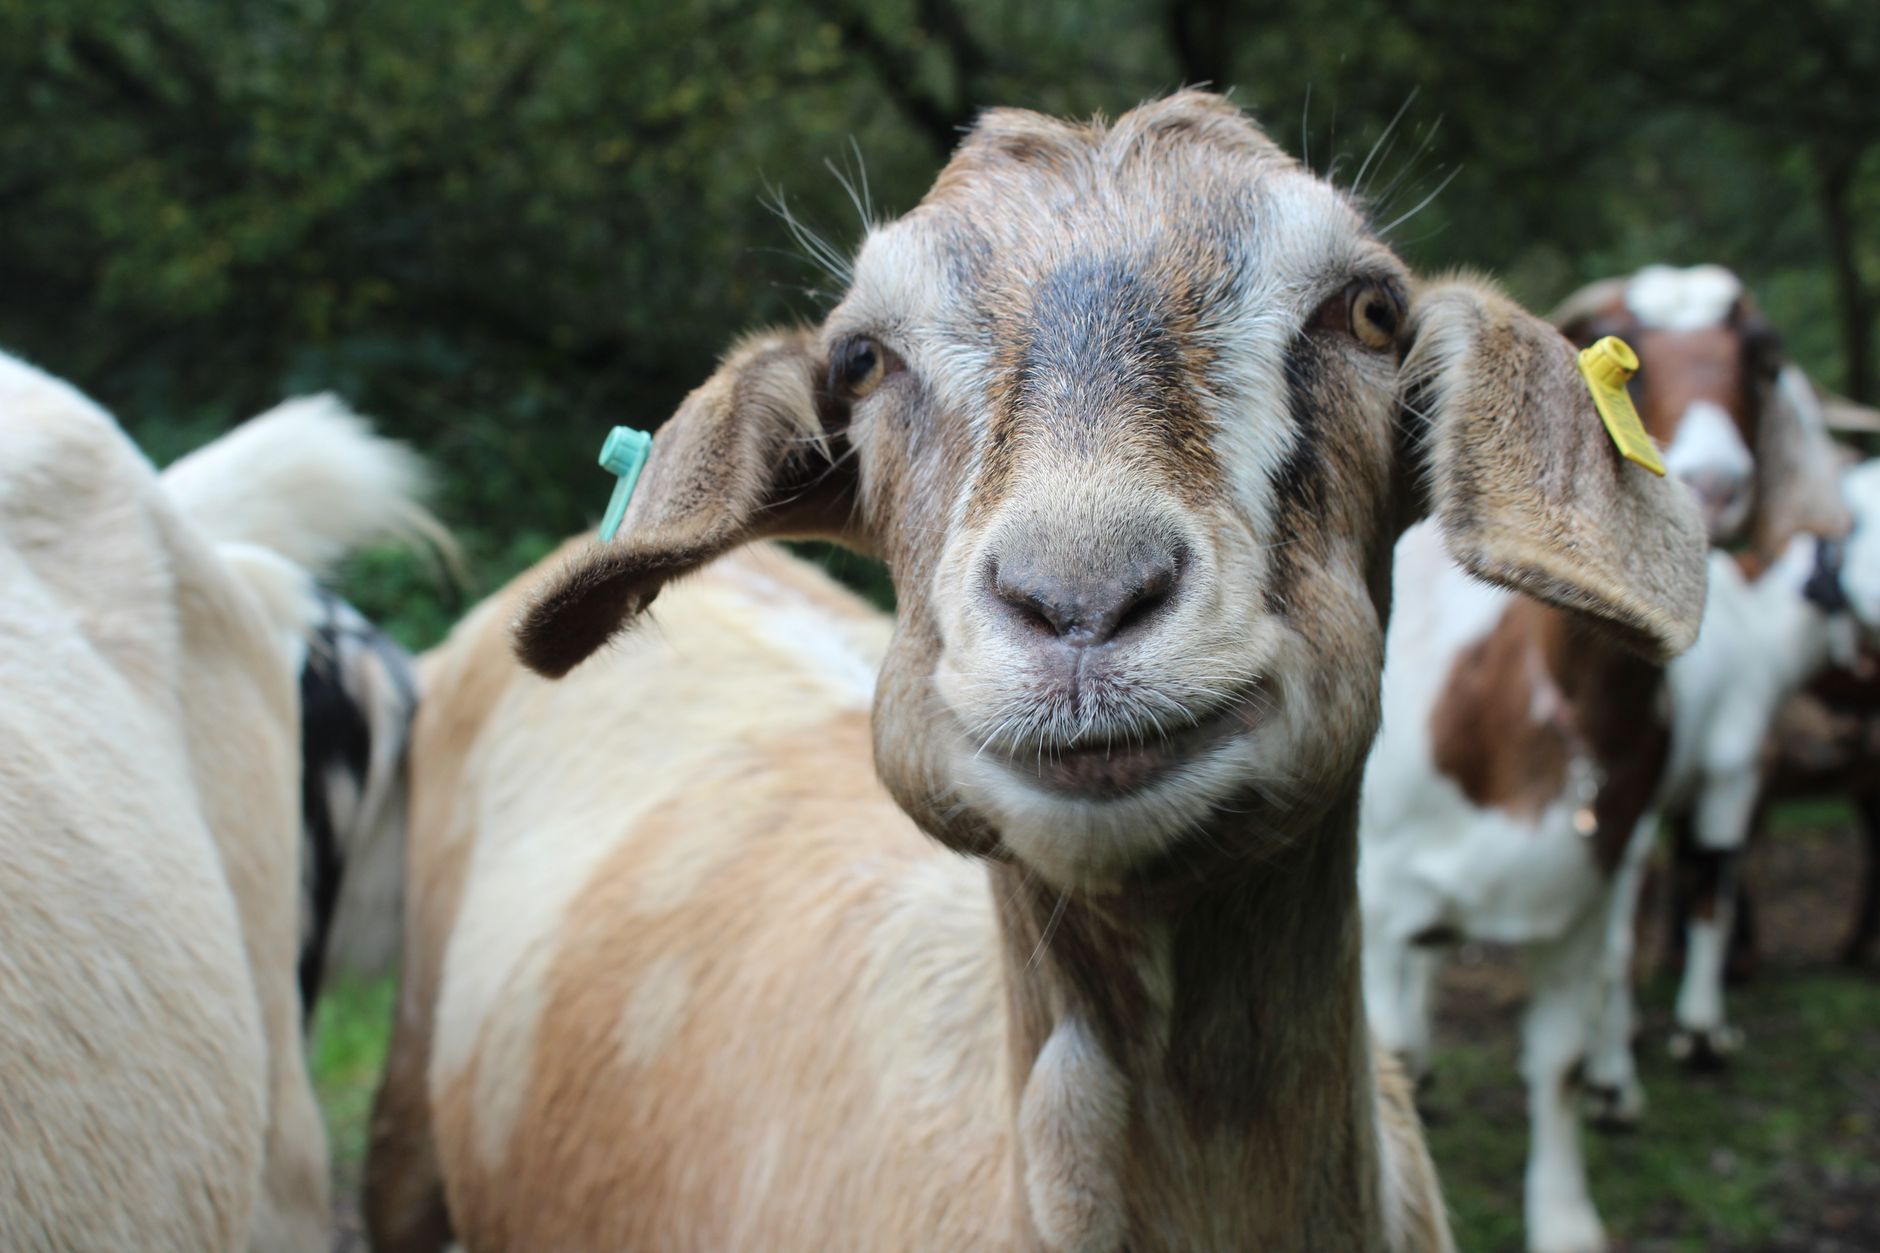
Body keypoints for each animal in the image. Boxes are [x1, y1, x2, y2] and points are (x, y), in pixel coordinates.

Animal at [1359, 263, 1845, 1253]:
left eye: (1762, 357)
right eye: (1626, 351)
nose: (1714, 485)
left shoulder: (1578, 902)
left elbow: (1561, 1062)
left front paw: (1566, 1215)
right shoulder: (1380, 902)